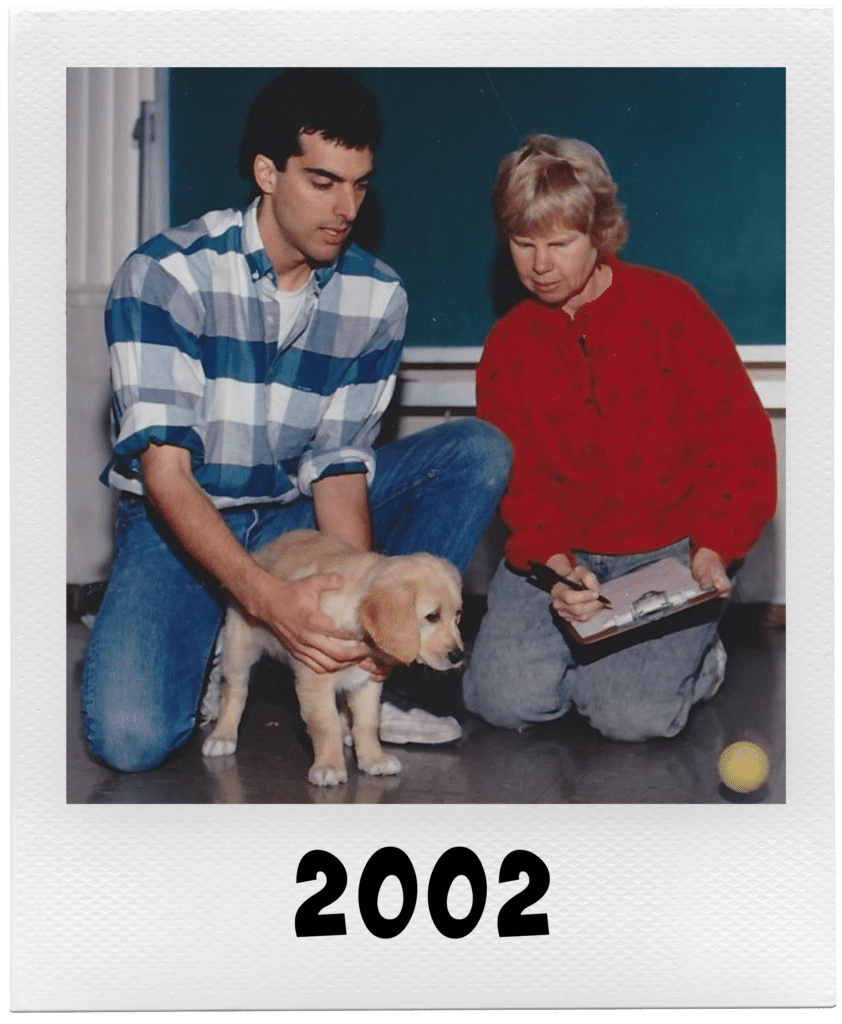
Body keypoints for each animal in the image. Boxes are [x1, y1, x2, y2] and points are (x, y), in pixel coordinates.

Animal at [203, 532, 465, 786]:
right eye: (431, 616)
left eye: (458, 615)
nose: (458, 656)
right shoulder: (315, 678)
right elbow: (324, 724)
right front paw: (328, 766)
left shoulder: (367, 681)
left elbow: (368, 722)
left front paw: (373, 759)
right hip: (239, 648)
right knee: (234, 692)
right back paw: (222, 736)